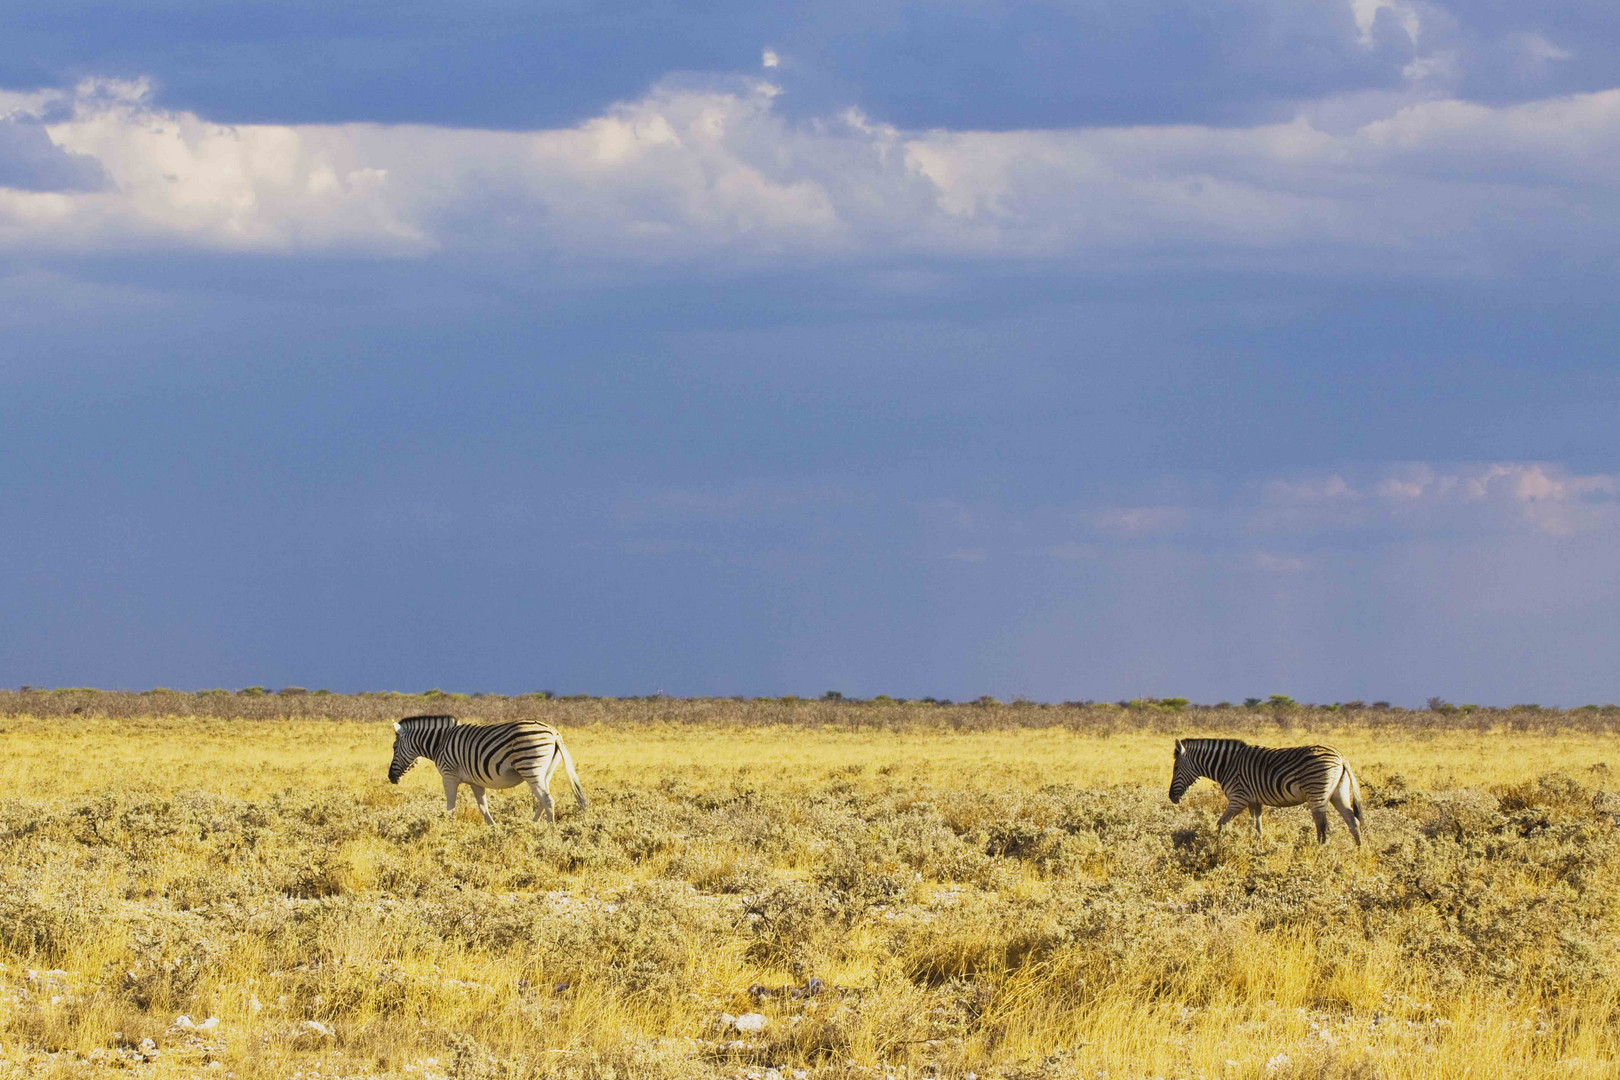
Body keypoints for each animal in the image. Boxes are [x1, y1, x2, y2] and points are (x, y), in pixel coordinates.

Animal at [385, 718, 589, 829]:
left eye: (394, 747)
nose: (390, 777)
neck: (439, 744)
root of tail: (554, 732)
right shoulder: (476, 782)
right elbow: (483, 807)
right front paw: (494, 829)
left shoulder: (449, 776)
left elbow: (450, 806)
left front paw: (448, 828)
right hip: (544, 772)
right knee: (543, 800)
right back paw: (529, 825)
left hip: (530, 768)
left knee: (547, 800)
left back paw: (548, 830)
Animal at [1166, 738, 1367, 848]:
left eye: (1175, 768)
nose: (1171, 797)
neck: (1226, 766)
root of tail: (1341, 757)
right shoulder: (1254, 801)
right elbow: (1258, 827)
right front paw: (1258, 848)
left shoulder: (1238, 798)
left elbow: (1220, 823)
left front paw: (1216, 845)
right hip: (1338, 793)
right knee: (1353, 821)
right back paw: (1359, 851)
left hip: (1317, 792)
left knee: (1322, 825)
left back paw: (1321, 851)